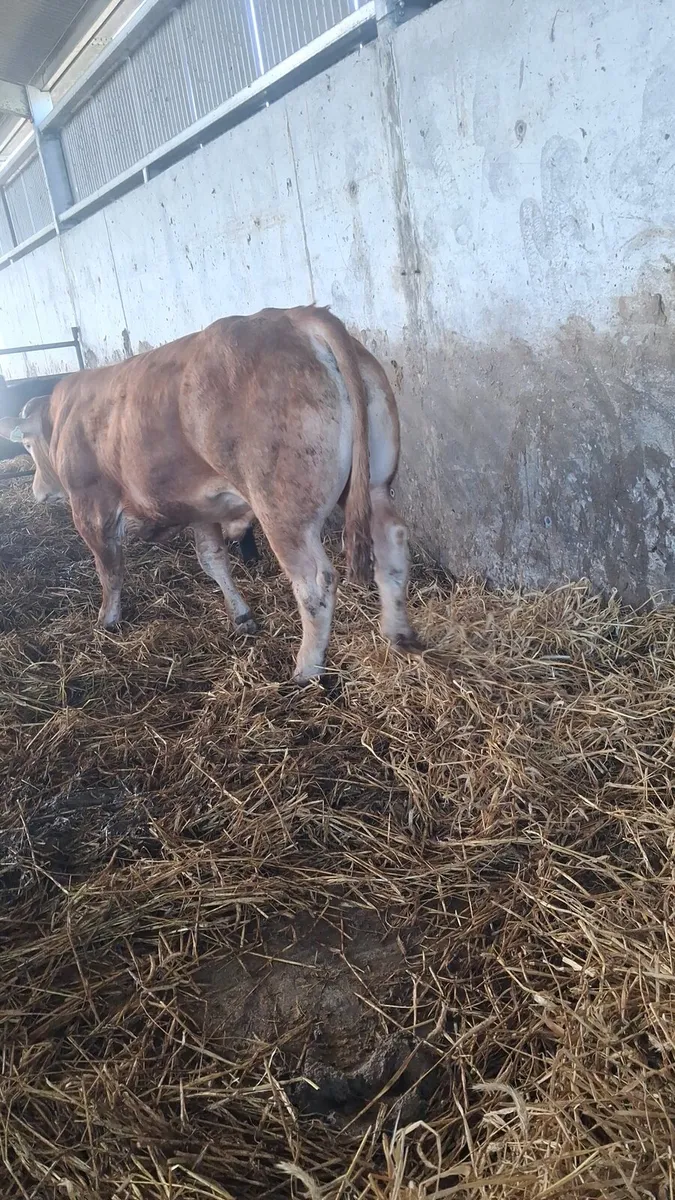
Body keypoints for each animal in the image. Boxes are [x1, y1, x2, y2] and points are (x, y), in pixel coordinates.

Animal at [0, 305, 420, 681]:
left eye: (27, 446)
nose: (39, 492)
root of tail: (296, 317)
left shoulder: (90, 506)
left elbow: (110, 570)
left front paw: (107, 620)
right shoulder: (200, 509)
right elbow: (212, 561)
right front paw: (242, 616)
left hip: (283, 511)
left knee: (315, 581)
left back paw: (307, 668)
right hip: (375, 484)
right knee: (392, 544)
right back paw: (398, 633)